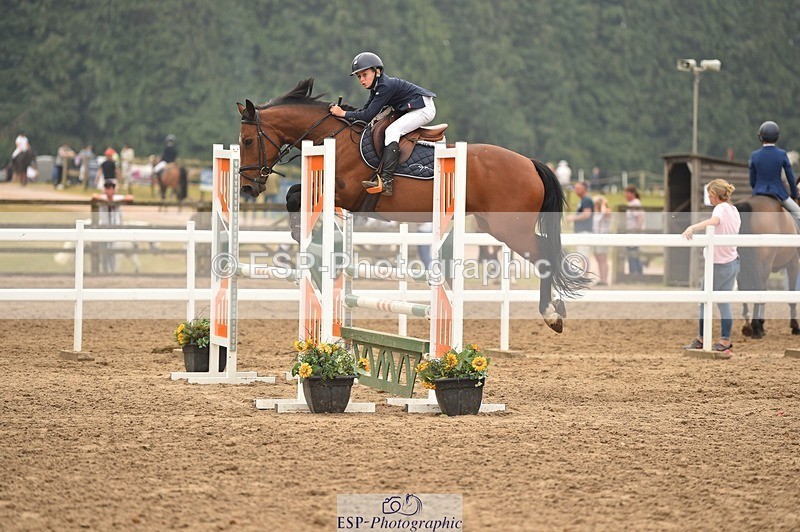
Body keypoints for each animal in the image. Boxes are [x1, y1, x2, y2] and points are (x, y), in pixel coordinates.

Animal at [236, 78, 590, 333]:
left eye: (248, 141)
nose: (248, 187)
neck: (331, 135)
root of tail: (530, 163)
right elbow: (293, 196)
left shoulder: (345, 193)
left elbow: (295, 197)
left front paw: (300, 235)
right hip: (494, 225)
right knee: (544, 252)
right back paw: (556, 307)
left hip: (509, 227)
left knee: (544, 254)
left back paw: (551, 313)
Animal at [735, 195, 800, 338]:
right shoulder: (793, 264)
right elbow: (792, 293)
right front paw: (795, 326)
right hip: (763, 265)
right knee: (759, 288)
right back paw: (755, 328)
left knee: (744, 286)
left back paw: (748, 326)